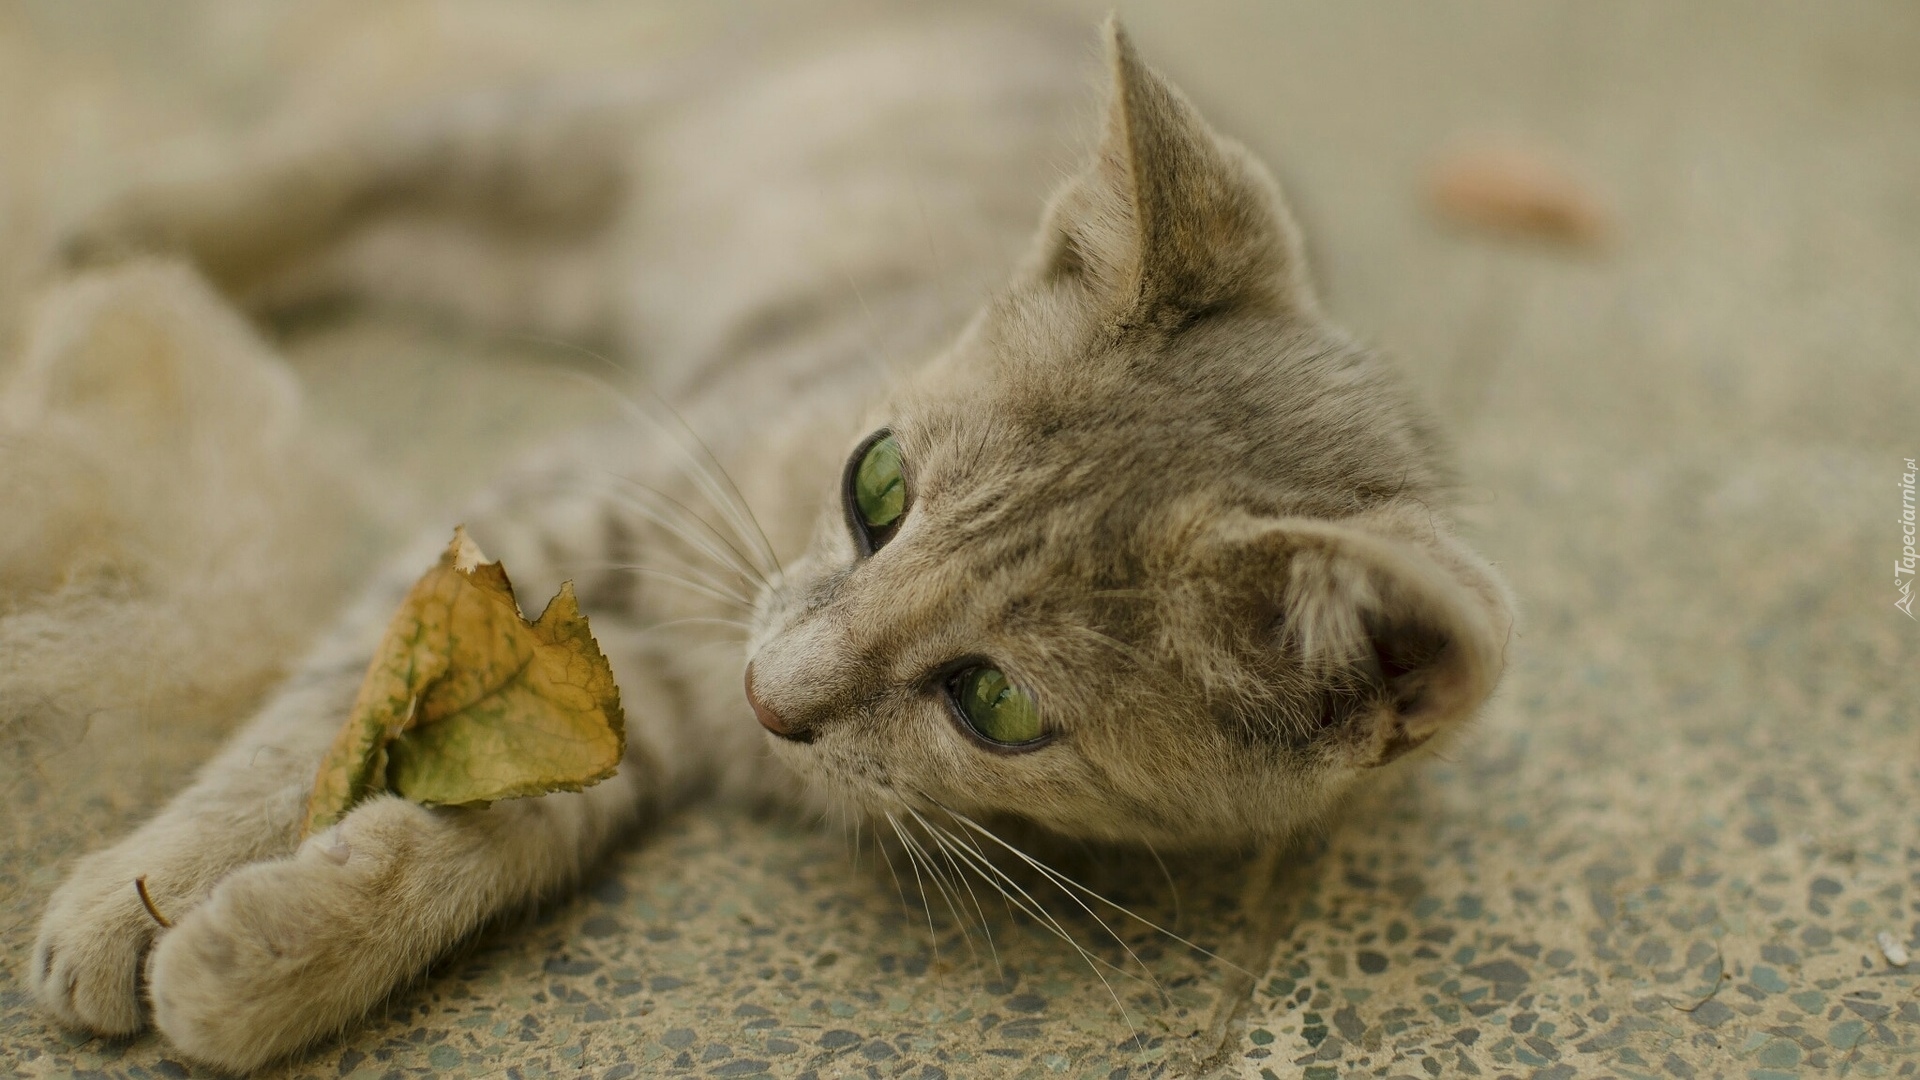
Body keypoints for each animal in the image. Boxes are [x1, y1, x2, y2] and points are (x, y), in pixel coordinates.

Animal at [22, 10, 1505, 1068]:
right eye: (878, 485)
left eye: (996, 704)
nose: (770, 698)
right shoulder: (568, 503)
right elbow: (328, 708)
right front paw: (135, 895)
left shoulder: (644, 704)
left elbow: (491, 829)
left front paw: (262, 957)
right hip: (587, 141)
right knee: (374, 155)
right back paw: (123, 239)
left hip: (516, 255)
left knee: (394, 216)